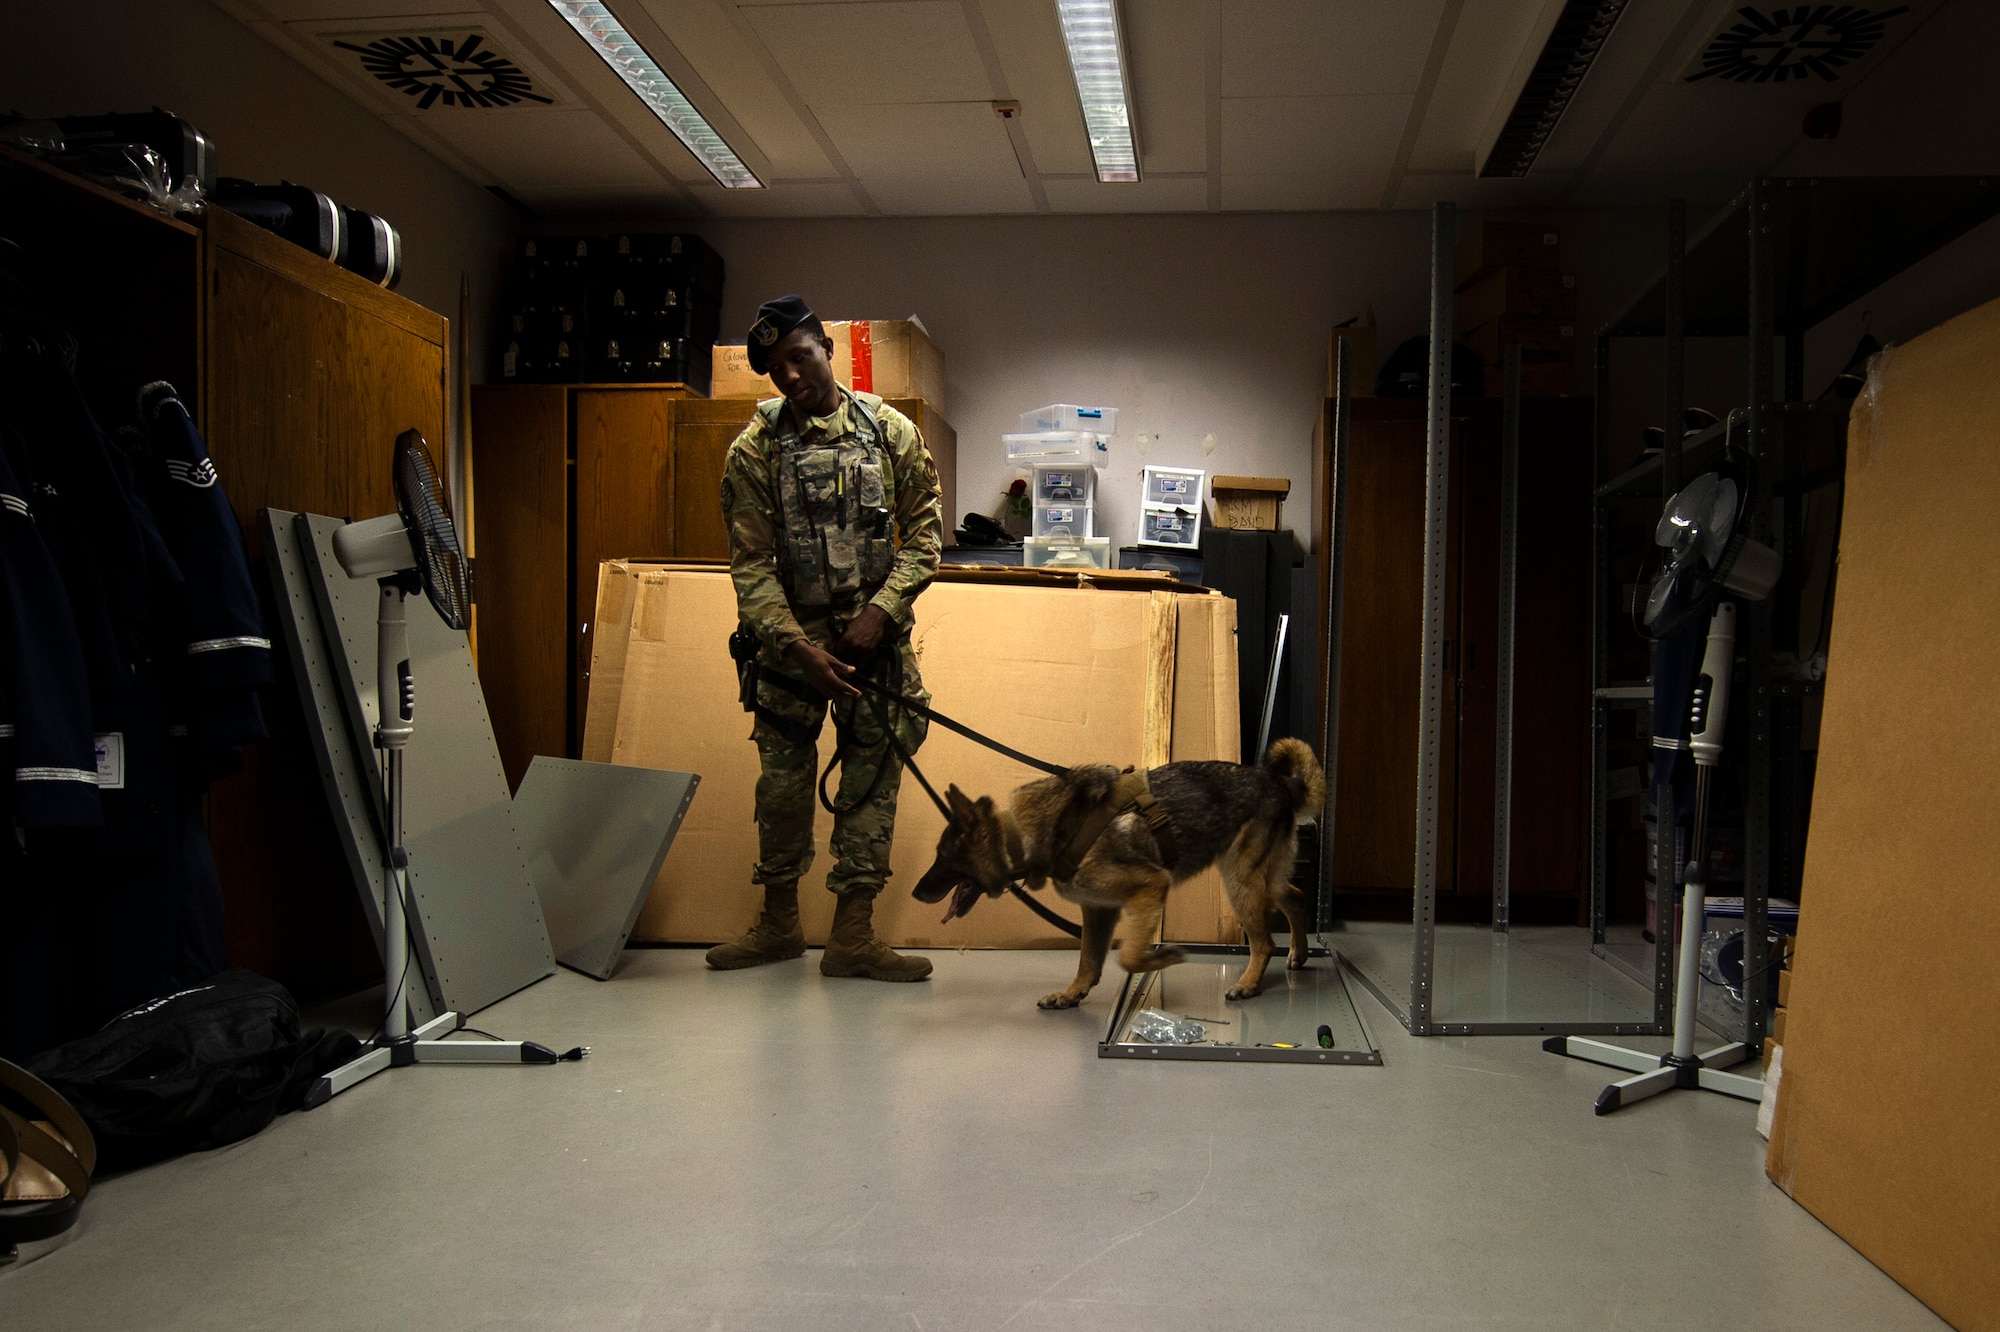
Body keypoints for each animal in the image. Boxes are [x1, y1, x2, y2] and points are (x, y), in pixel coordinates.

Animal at [912, 736, 1320, 1008]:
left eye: (943, 856)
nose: (915, 893)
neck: (1020, 835)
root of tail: (1282, 782)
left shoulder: (1149, 889)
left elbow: (1126, 956)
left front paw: (1163, 959)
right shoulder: (1097, 910)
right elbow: (1088, 959)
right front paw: (1072, 993)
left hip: (1239, 881)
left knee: (1264, 941)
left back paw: (1249, 983)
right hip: (1257, 877)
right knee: (1296, 897)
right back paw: (1297, 954)